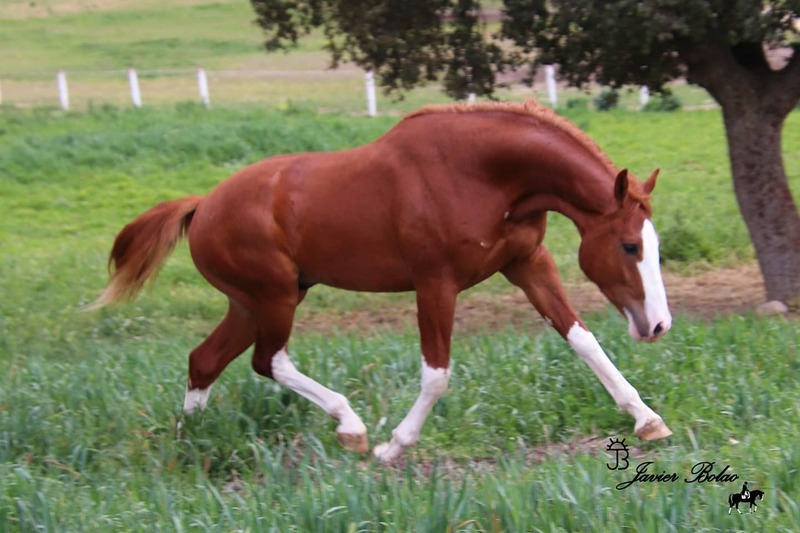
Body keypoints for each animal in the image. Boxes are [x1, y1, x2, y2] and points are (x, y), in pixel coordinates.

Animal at [90, 100, 673, 463]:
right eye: (629, 245)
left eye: (653, 242)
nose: (659, 326)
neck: (481, 173)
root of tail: (203, 205)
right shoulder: (435, 282)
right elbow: (436, 374)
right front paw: (393, 447)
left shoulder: (528, 263)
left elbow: (584, 341)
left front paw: (648, 420)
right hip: (274, 297)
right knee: (267, 360)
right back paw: (350, 427)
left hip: (251, 302)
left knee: (205, 360)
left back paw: (191, 440)